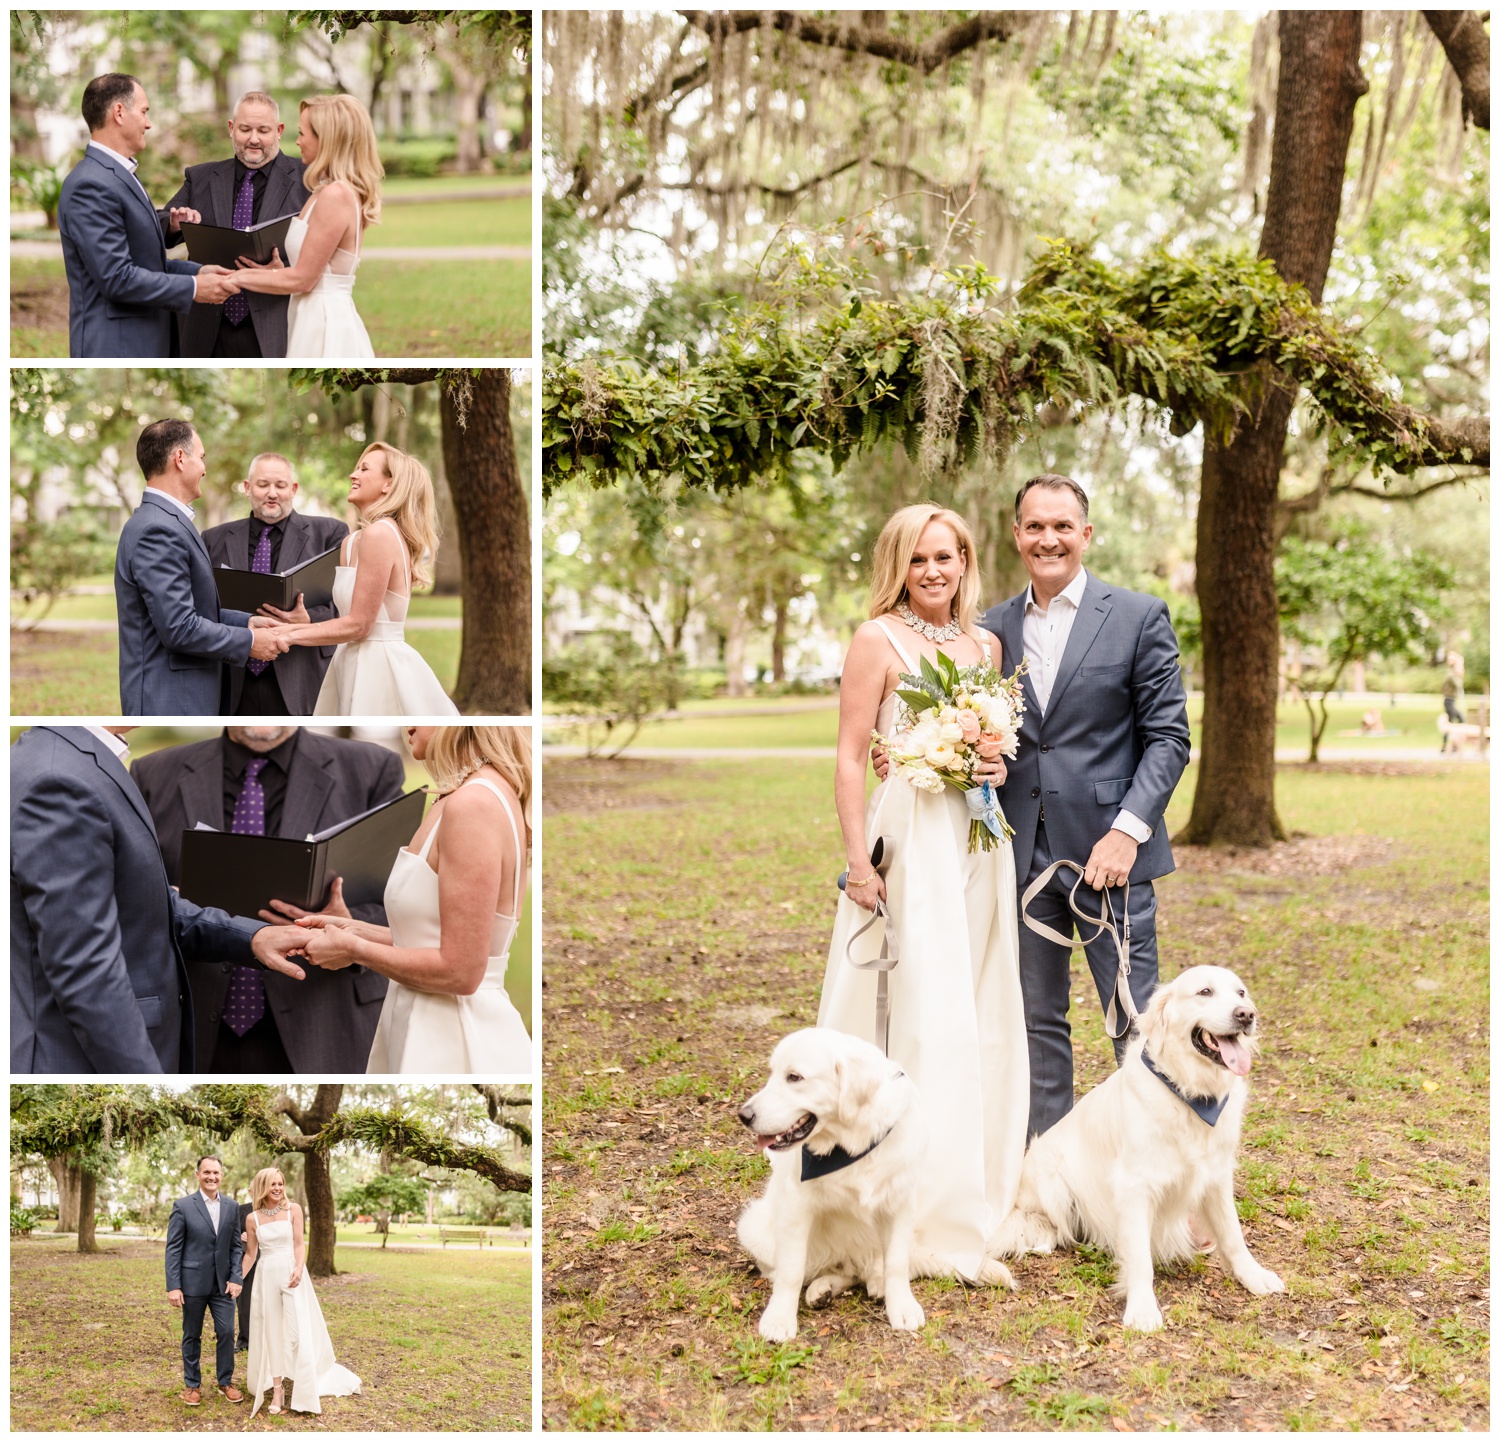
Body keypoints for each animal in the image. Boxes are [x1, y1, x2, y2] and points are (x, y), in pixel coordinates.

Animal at [732, 1026, 1014, 1338]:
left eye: (794, 1077)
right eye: (772, 1074)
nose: (744, 1115)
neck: (851, 1146)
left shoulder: (900, 1203)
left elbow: (897, 1263)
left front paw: (901, 1307)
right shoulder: (796, 1206)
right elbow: (791, 1271)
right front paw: (779, 1319)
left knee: (874, 1267)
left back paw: (871, 1284)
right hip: (755, 1228)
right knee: (833, 1270)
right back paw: (822, 1289)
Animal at [1002, 960, 1284, 1332]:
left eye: (1241, 993)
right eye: (1205, 991)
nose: (1246, 1015)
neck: (1189, 1093)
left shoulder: (1216, 1175)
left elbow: (1233, 1234)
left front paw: (1254, 1276)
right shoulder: (1134, 1186)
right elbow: (1139, 1257)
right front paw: (1142, 1309)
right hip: (1052, 1180)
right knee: (1052, 1226)